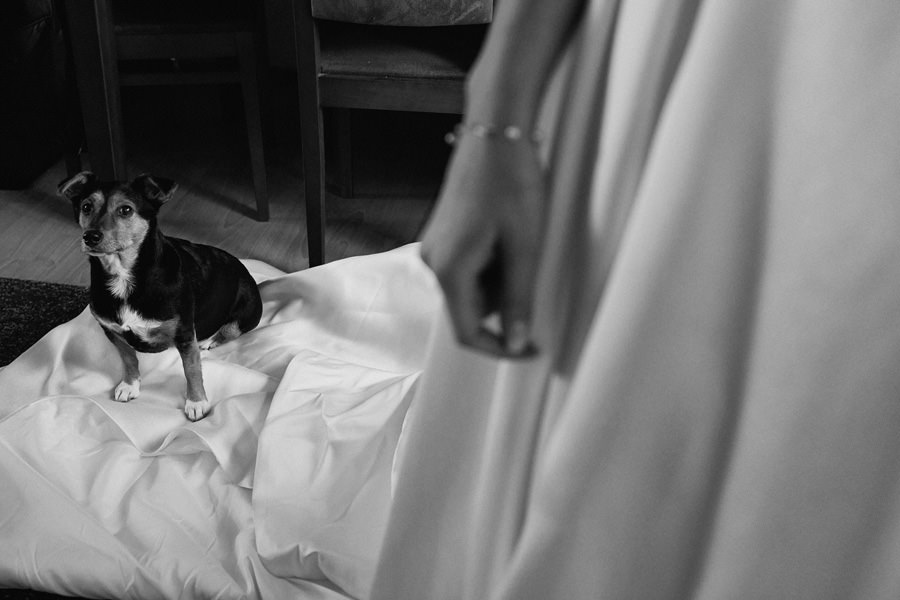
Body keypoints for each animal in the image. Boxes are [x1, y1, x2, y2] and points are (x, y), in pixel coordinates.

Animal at [58, 171, 262, 421]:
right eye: (86, 207)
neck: (124, 275)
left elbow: (191, 370)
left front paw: (197, 402)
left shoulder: (184, 334)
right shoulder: (112, 331)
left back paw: (210, 340)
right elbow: (128, 358)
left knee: (229, 330)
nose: (90, 237)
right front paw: (130, 385)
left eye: (125, 210)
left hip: (246, 314)